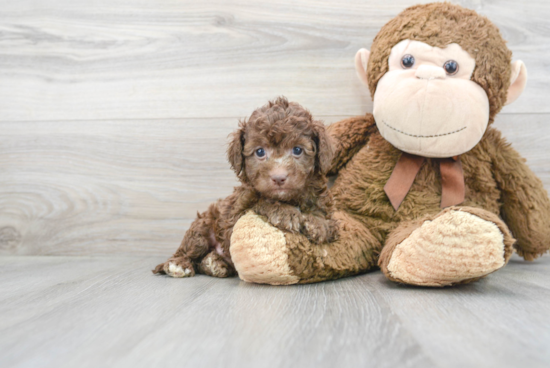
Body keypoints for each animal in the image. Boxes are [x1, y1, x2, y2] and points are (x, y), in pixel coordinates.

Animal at [153, 96, 338, 278]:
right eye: (260, 152)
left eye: (298, 150)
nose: (278, 177)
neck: (289, 198)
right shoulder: (235, 215)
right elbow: (261, 202)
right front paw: (286, 213)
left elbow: (328, 220)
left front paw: (319, 225)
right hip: (202, 227)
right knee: (190, 250)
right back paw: (179, 264)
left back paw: (214, 263)